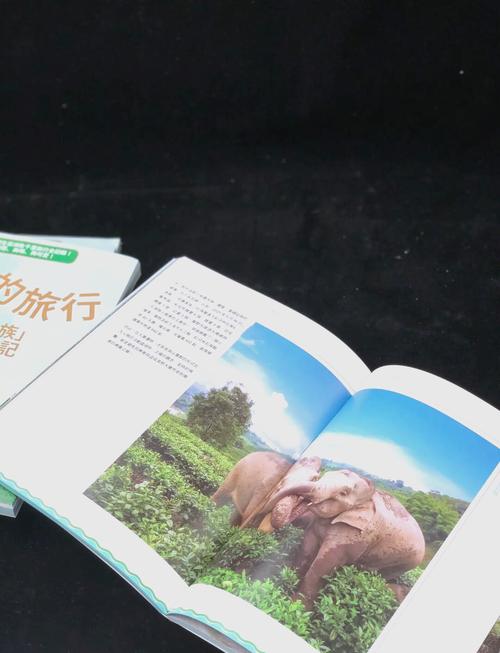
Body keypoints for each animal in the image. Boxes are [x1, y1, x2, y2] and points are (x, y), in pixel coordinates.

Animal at [266, 467, 426, 608]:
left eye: (343, 493)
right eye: (323, 476)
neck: (369, 496)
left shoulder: (357, 533)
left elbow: (323, 565)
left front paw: (296, 606)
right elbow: (307, 549)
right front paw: (286, 584)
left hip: (400, 564)